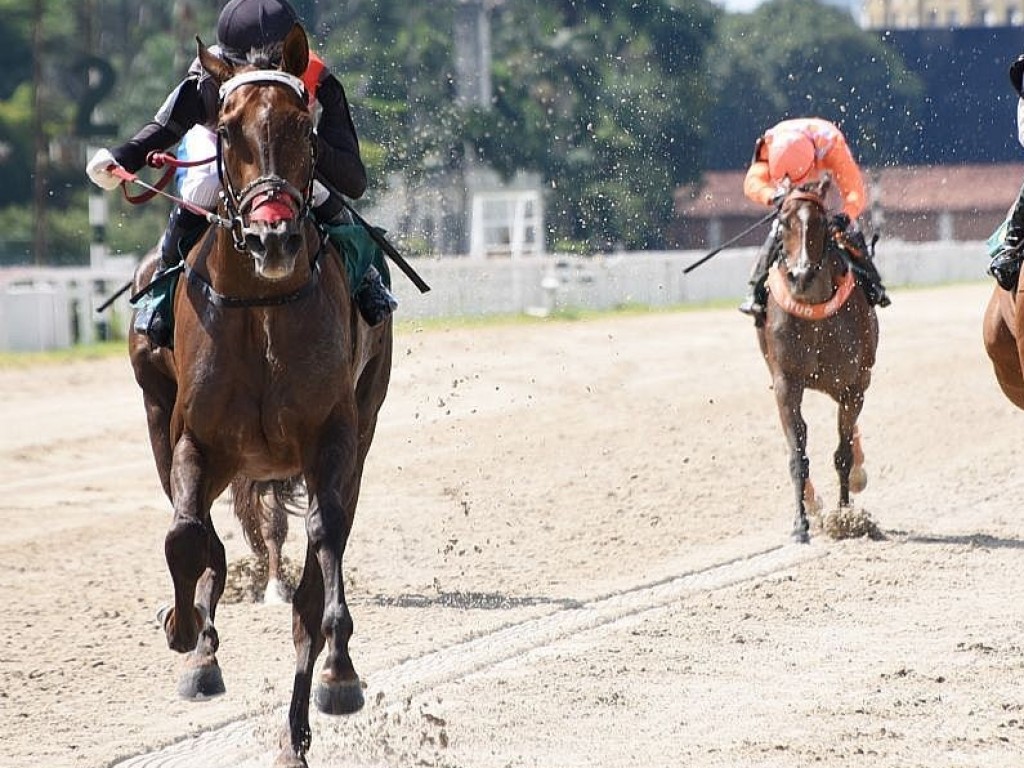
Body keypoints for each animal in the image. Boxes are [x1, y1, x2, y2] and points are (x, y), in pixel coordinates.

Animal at [123, 25, 387, 768]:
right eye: (225, 127)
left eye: (304, 126)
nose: (274, 236)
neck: (263, 305)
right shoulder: (193, 437)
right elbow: (186, 534)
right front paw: (187, 634)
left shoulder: (334, 436)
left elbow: (323, 546)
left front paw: (341, 668)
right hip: (163, 416)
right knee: (201, 531)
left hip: (364, 424)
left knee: (312, 585)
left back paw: (307, 716)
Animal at [753, 180, 880, 540]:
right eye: (784, 222)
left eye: (821, 222)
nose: (800, 275)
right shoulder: (786, 383)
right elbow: (797, 453)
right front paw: (801, 524)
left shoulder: (853, 386)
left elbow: (844, 454)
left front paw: (846, 515)